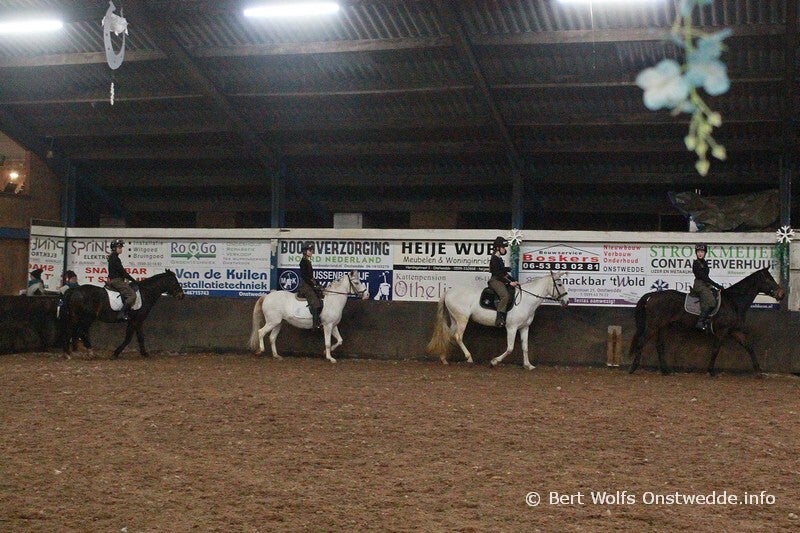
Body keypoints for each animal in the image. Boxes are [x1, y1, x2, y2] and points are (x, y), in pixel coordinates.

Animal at [426, 272, 570, 369]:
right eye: (560, 284)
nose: (566, 301)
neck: (526, 300)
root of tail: (448, 292)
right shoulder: (512, 328)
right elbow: (510, 348)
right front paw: (494, 361)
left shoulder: (524, 327)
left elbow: (525, 347)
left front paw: (528, 365)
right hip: (462, 319)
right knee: (458, 336)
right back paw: (469, 358)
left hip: (455, 319)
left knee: (449, 335)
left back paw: (444, 359)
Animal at [628, 268, 785, 376]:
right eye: (769, 280)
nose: (781, 294)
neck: (733, 301)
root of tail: (654, 295)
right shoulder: (723, 330)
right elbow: (716, 349)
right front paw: (711, 371)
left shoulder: (734, 330)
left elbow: (749, 347)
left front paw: (759, 371)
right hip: (653, 325)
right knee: (642, 342)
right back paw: (633, 368)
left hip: (663, 326)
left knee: (659, 346)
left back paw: (666, 371)